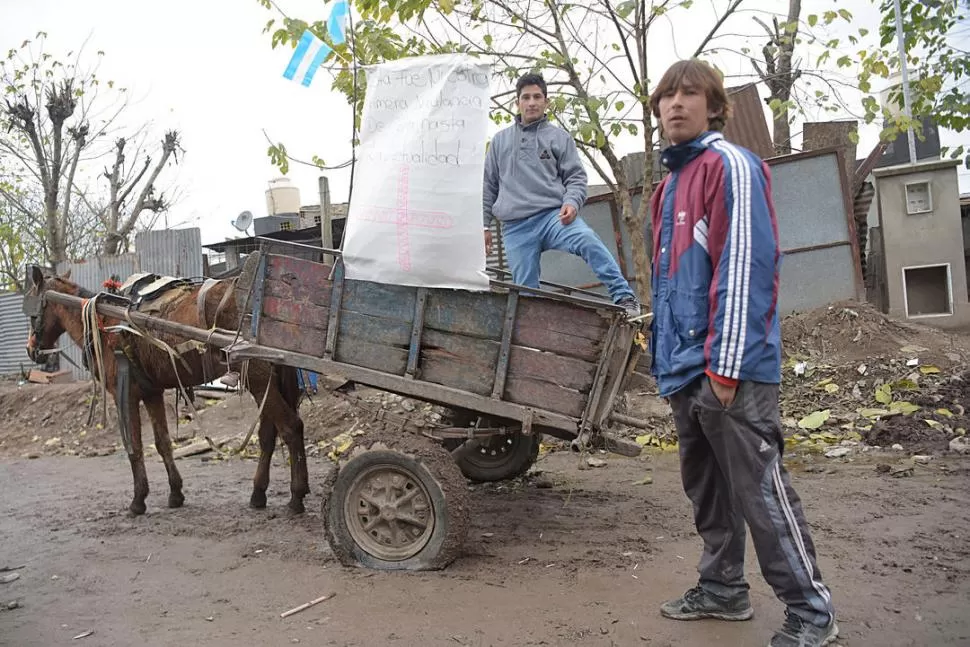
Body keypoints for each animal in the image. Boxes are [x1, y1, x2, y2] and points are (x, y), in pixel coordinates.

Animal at [23, 264, 310, 516]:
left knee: (291, 427)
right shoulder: (152, 393)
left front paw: (138, 500)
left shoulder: (125, 394)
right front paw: (175, 493)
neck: (105, 321)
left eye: (32, 309)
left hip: (257, 379)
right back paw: (259, 494)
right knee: (268, 435)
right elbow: (163, 443)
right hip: (265, 381)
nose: (31, 350)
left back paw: (296, 496)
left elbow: (135, 447)